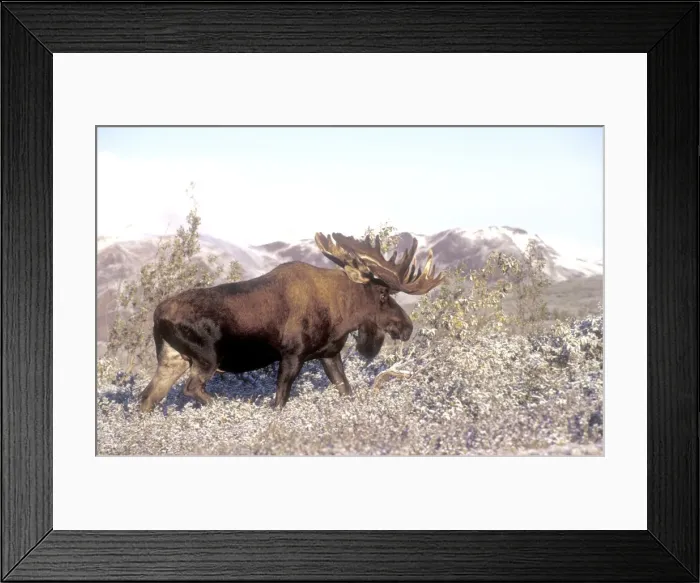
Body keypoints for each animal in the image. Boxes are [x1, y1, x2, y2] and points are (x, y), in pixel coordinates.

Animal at [138, 232, 444, 412]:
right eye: (383, 293)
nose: (407, 327)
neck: (341, 314)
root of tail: (157, 315)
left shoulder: (329, 355)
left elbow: (347, 391)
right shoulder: (291, 355)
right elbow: (279, 402)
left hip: (172, 359)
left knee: (147, 397)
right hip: (206, 358)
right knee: (191, 388)